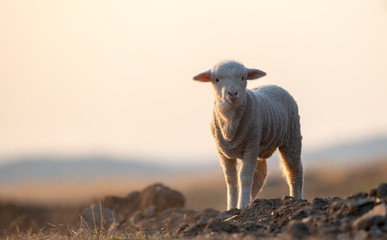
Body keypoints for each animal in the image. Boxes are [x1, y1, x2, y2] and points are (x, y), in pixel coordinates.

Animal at [193, 60, 304, 210]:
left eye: (243, 77)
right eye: (216, 79)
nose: (232, 93)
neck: (230, 123)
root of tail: (274, 85)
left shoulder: (250, 146)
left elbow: (244, 177)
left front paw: (242, 205)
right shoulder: (222, 151)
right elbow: (231, 179)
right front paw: (232, 207)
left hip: (292, 138)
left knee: (294, 171)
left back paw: (296, 199)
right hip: (260, 146)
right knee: (260, 174)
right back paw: (252, 201)